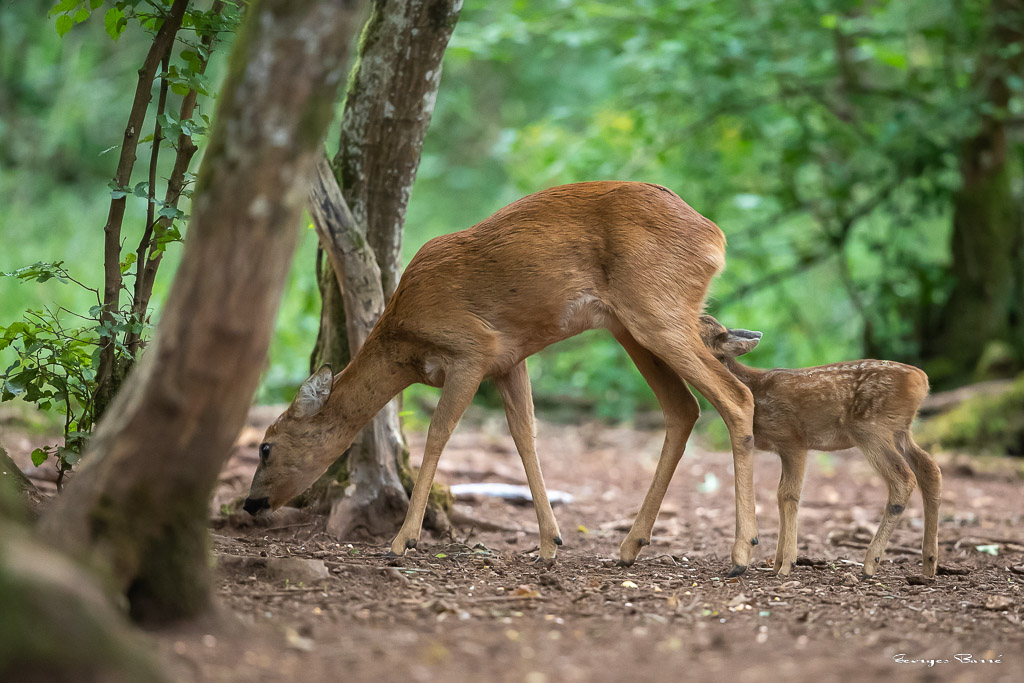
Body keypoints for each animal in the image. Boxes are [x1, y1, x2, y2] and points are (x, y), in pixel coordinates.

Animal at [243, 181, 761, 576]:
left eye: (266, 446)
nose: (250, 503)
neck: (405, 337)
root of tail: (715, 238)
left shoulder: (472, 349)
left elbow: (438, 433)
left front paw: (402, 540)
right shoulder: (510, 359)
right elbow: (524, 434)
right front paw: (550, 543)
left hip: (656, 312)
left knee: (735, 397)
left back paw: (741, 553)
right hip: (630, 325)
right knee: (683, 408)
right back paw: (631, 546)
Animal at [697, 314, 942, 578]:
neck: (754, 390)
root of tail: (922, 380)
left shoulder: (793, 439)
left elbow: (788, 493)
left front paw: (786, 565)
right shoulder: (784, 447)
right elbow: (780, 494)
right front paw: (777, 564)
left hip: (871, 429)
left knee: (903, 478)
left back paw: (870, 563)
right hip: (901, 431)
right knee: (930, 469)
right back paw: (929, 564)